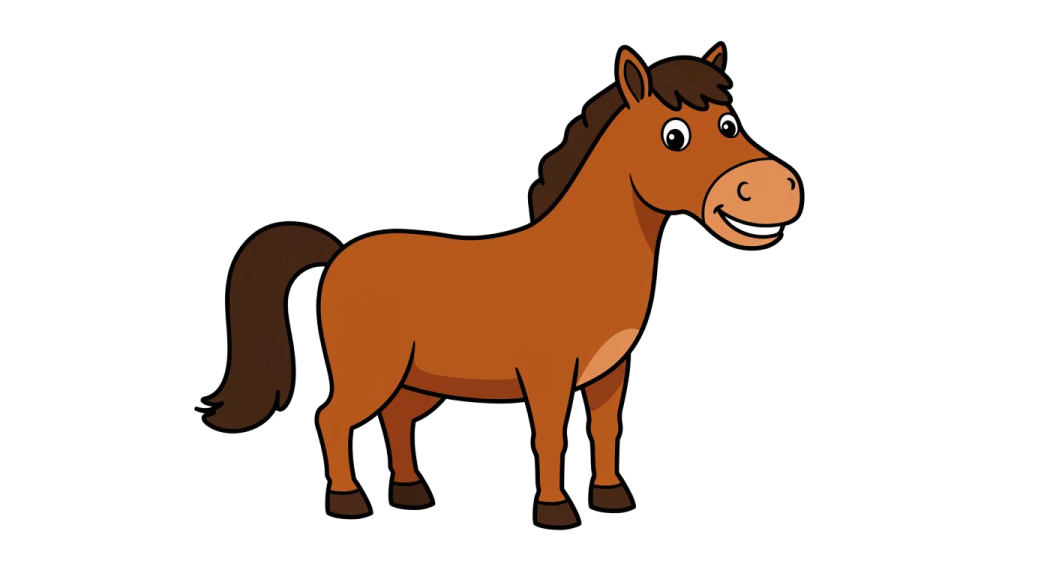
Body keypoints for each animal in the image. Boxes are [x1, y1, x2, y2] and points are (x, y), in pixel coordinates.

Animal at [202, 43, 805, 529]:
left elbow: (604, 430)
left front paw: (612, 499)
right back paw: (349, 502)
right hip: (370, 372)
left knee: (394, 420)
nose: (775, 187)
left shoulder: (609, 371)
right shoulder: (547, 374)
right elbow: (552, 435)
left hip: (416, 382)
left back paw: (411, 494)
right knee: (332, 418)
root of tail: (337, 255)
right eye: (673, 136)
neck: (585, 258)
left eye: (730, 124)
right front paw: (556, 510)